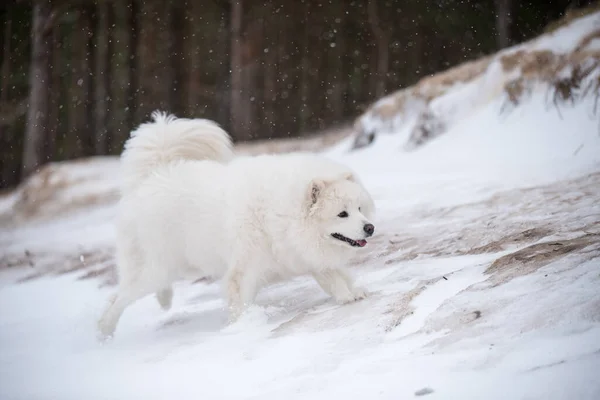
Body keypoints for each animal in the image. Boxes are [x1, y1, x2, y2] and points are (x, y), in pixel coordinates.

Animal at [101, 111, 378, 338]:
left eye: (360, 209)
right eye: (342, 214)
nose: (370, 228)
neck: (279, 213)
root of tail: (152, 176)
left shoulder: (303, 254)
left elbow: (334, 276)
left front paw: (351, 293)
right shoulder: (245, 267)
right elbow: (240, 299)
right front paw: (243, 325)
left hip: (183, 264)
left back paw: (163, 301)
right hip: (156, 268)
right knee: (118, 298)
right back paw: (104, 333)